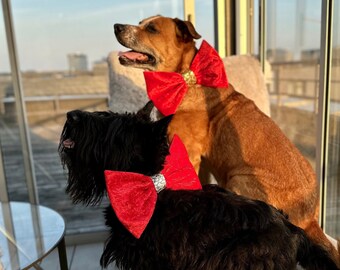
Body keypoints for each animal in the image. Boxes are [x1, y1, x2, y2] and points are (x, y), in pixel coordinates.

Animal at [114, 15, 340, 266]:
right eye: (141, 22)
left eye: (152, 29)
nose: (117, 27)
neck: (185, 79)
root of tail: (311, 220)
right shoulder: (198, 159)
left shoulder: (189, 152)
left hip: (238, 180)